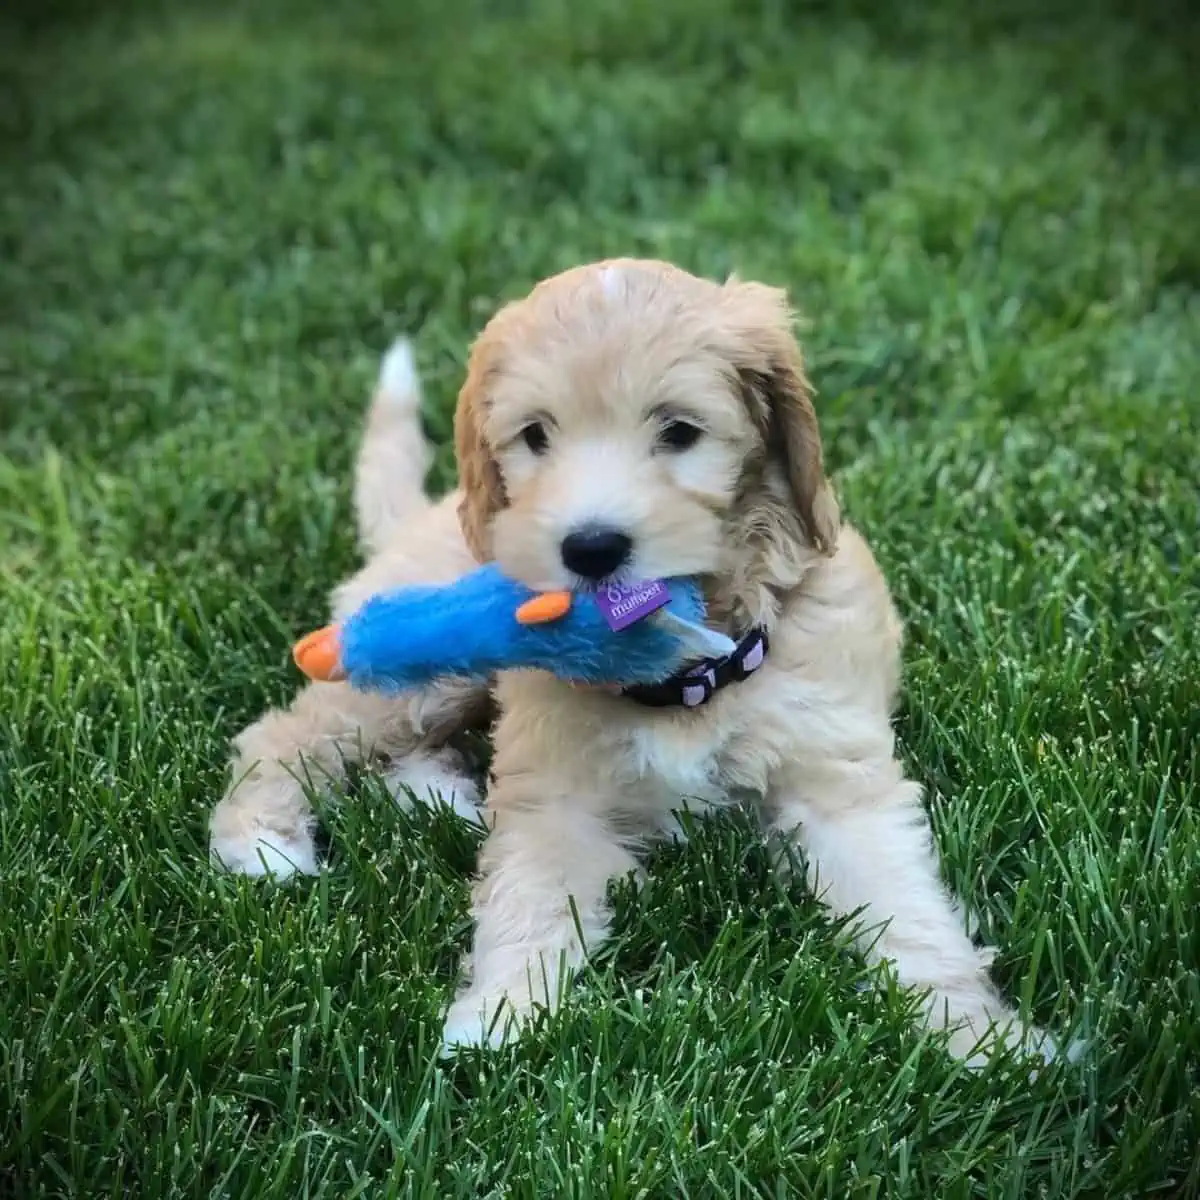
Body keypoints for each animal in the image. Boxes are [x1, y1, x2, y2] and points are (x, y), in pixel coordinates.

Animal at [206, 258, 1070, 1065]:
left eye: (679, 431)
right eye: (536, 436)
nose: (590, 549)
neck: (686, 675)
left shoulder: (838, 776)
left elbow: (909, 907)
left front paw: (983, 1039)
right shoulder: (557, 794)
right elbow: (530, 897)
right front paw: (499, 1020)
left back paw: (444, 801)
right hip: (433, 666)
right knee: (286, 733)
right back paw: (263, 844)